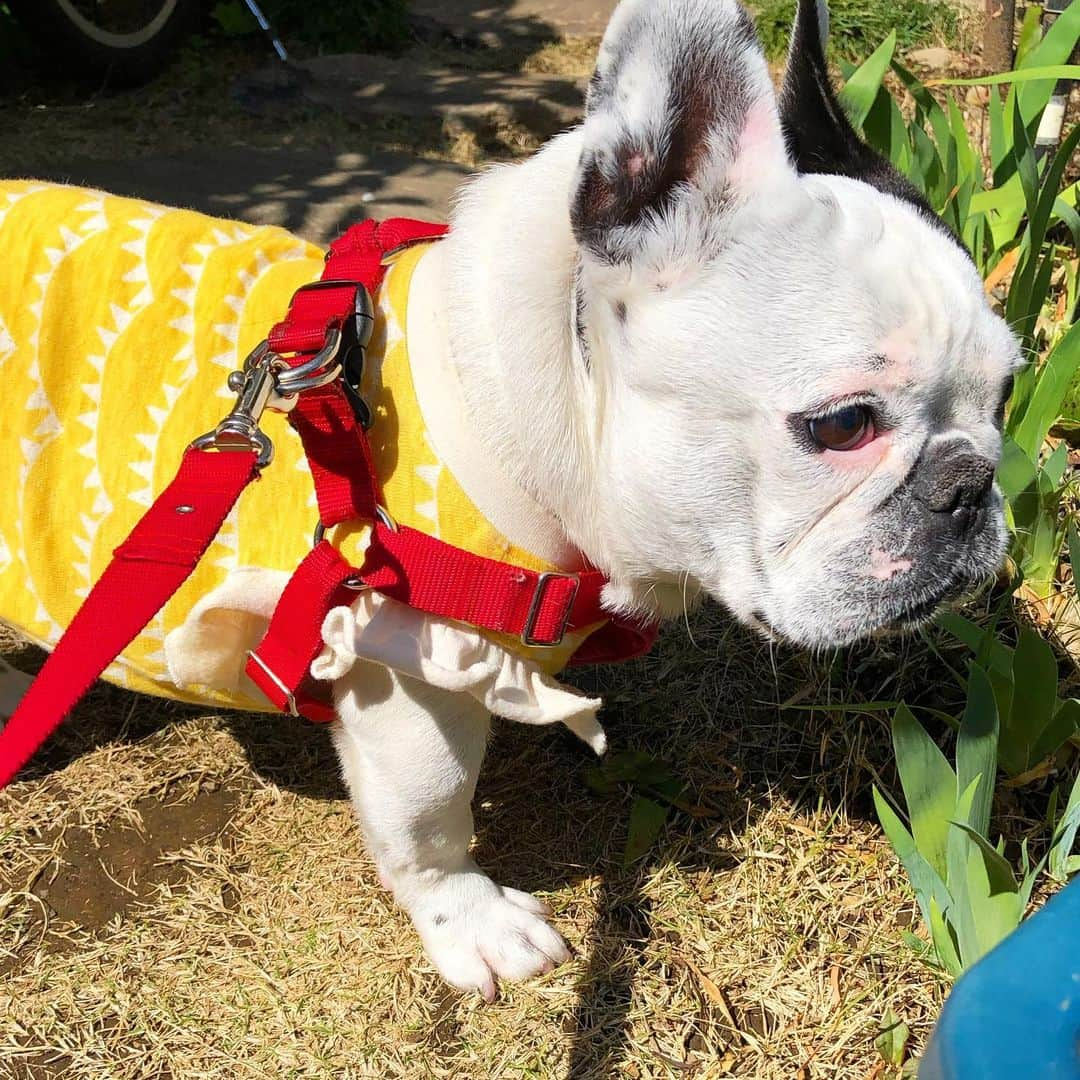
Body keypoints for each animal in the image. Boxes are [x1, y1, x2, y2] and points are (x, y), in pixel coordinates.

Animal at [0, 0, 1019, 997]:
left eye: (1008, 394)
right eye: (843, 425)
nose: (970, 486)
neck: (547, 406)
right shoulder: (402, 659)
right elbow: (428, 811)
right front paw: (470, 921)